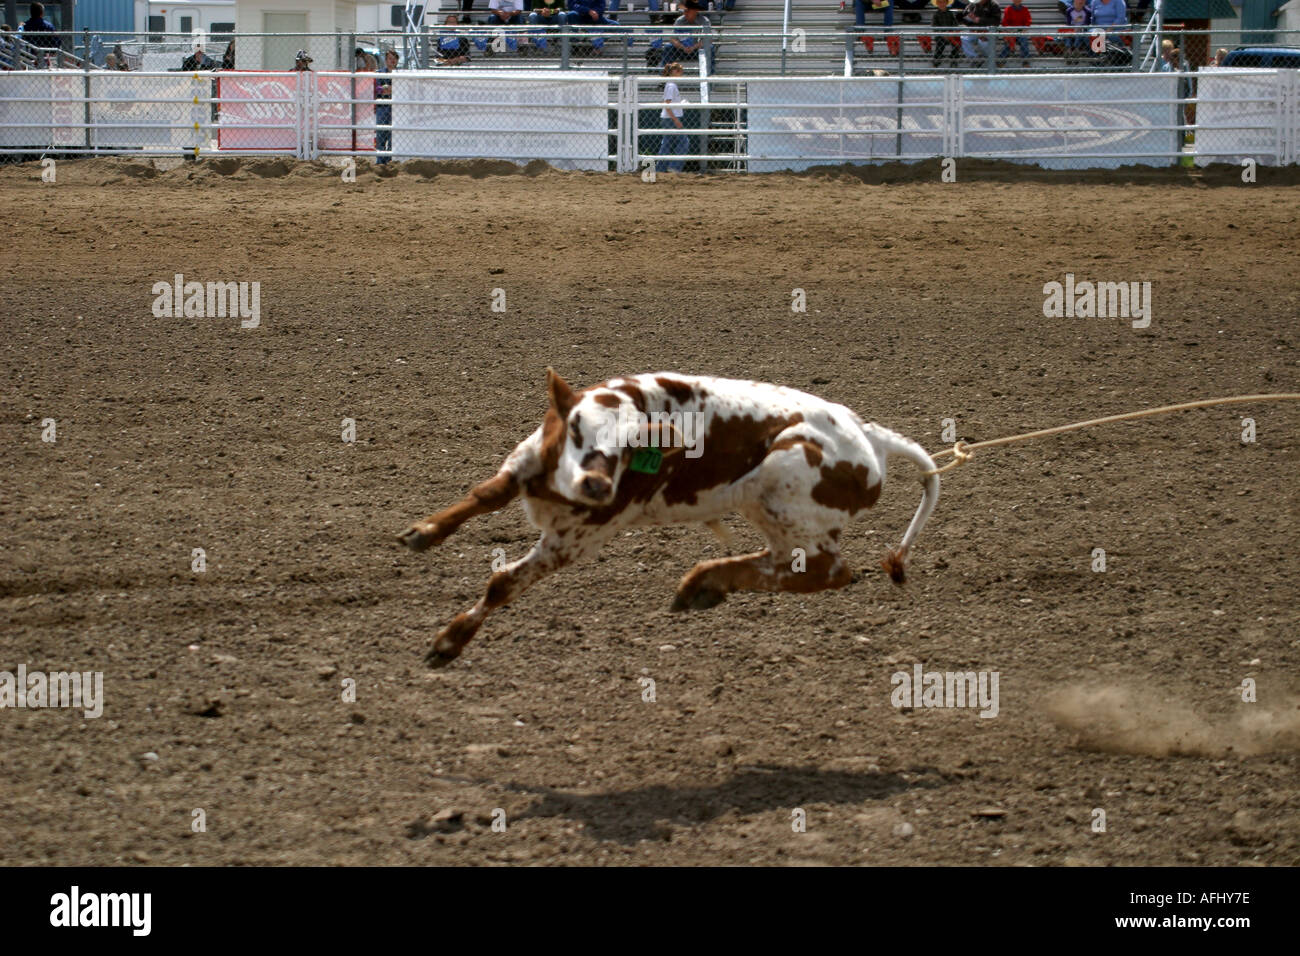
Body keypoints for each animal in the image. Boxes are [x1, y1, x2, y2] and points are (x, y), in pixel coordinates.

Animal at [399, 370, 940, 668]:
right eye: (574, 425)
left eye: (631, 446)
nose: (596, 486)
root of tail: (871, 437)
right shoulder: (527, 457)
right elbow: (487, 495)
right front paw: (424, 532)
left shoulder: (577, 538)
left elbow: (503, 583)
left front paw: (449, 641)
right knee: (787, 564)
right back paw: (705, 584)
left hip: (782, 492)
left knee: (828, 571)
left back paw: (704, 581)